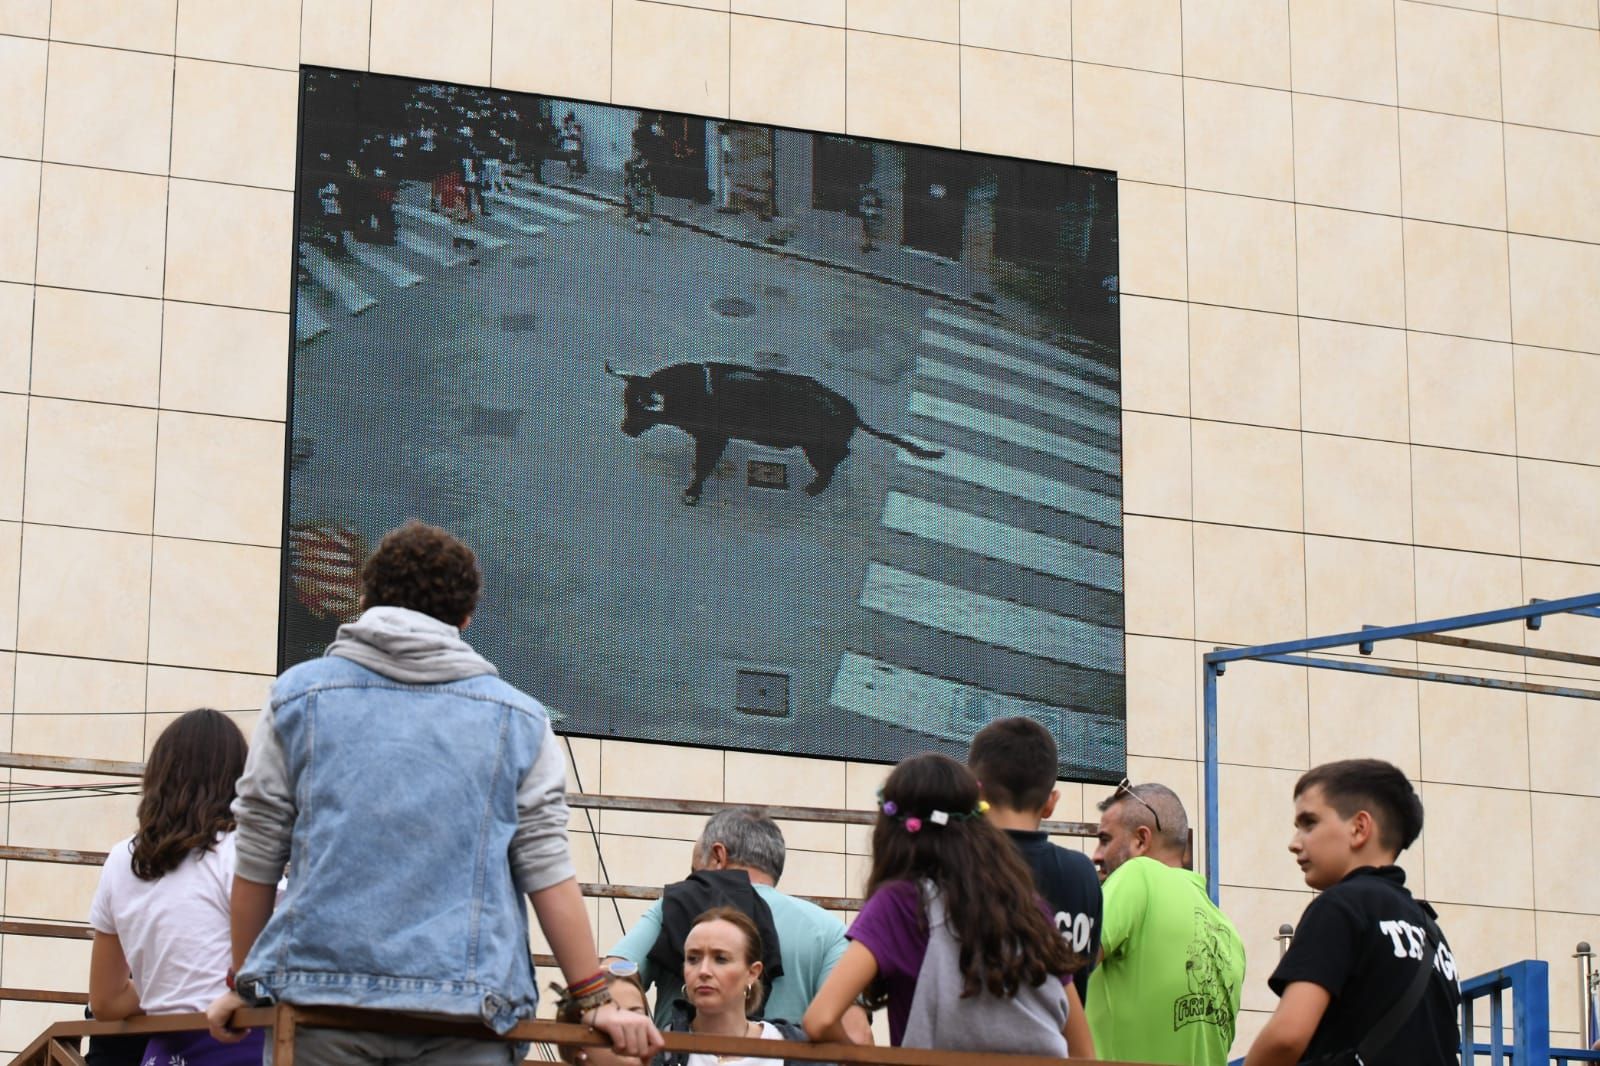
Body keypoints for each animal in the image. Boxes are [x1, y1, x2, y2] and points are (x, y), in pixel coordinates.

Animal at [604, 358, 940, 505]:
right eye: (626, 403)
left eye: (639, 409)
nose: (624, 429)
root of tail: (852, 412)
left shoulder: (713, 439)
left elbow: (702, 466)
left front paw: (692, 493)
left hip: (816, 448)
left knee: (836, 460)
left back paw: (814, 488)